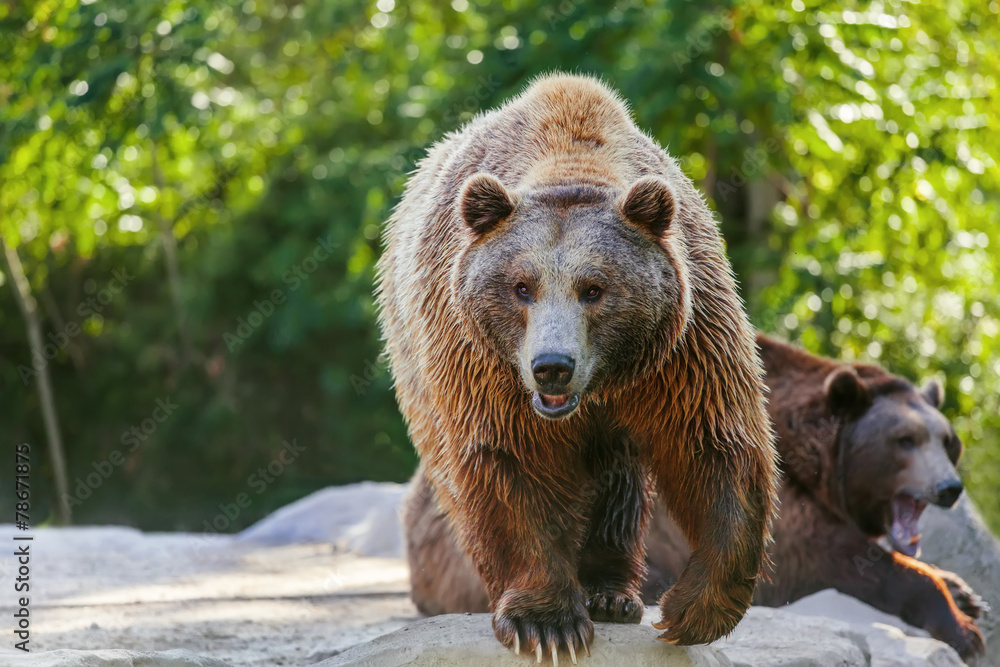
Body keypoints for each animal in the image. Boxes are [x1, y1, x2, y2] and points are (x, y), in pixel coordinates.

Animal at [376, 73, 779, 661]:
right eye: (521, 286)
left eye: (594, 288)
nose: (552, 367)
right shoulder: (483, 362)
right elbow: (508, 462)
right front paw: (546, 623)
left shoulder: (684, 344)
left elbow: (714, 444)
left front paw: (688, 609)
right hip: (417, 371)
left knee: (620, 485)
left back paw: (612, 593)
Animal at [404, 333, 986, 658]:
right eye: (904, 440)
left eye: (946, 440)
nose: (949, 488)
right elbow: (842, 561)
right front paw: (963, 630)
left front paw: (966, 592)